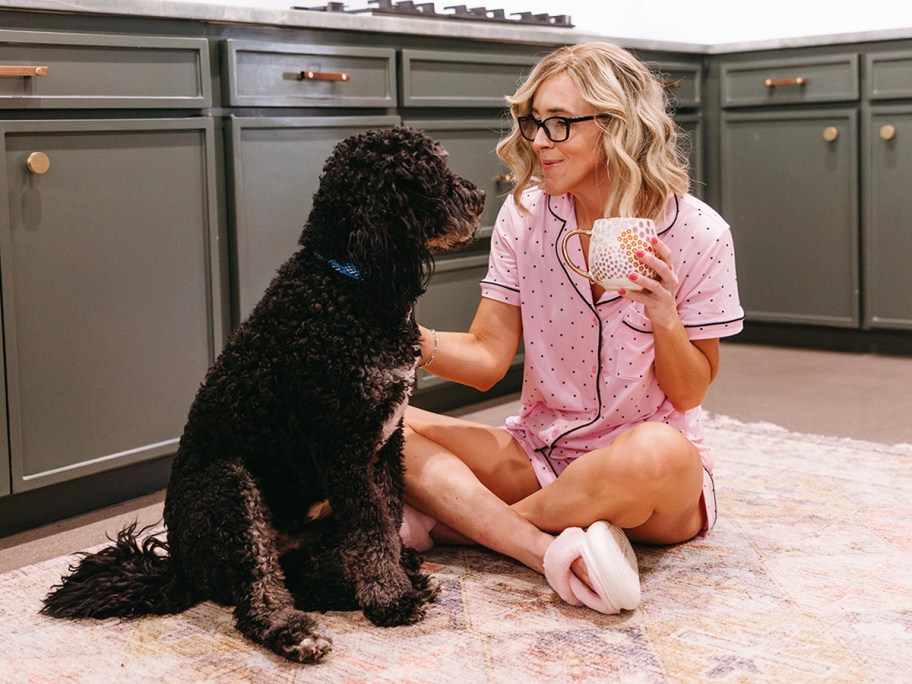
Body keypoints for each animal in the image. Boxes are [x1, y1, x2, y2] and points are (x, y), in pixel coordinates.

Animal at [42, 127, 484, 664]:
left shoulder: (386, 443)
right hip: (231, 490)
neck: (344, 283)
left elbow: (388, 515)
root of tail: (180, 568)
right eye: (432, 174)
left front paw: (396, 579)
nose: (482, 197)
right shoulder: (344, 447)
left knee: (305, 579)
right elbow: (372, 528)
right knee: (258, 592)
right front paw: (390, 598)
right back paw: (295, 631)